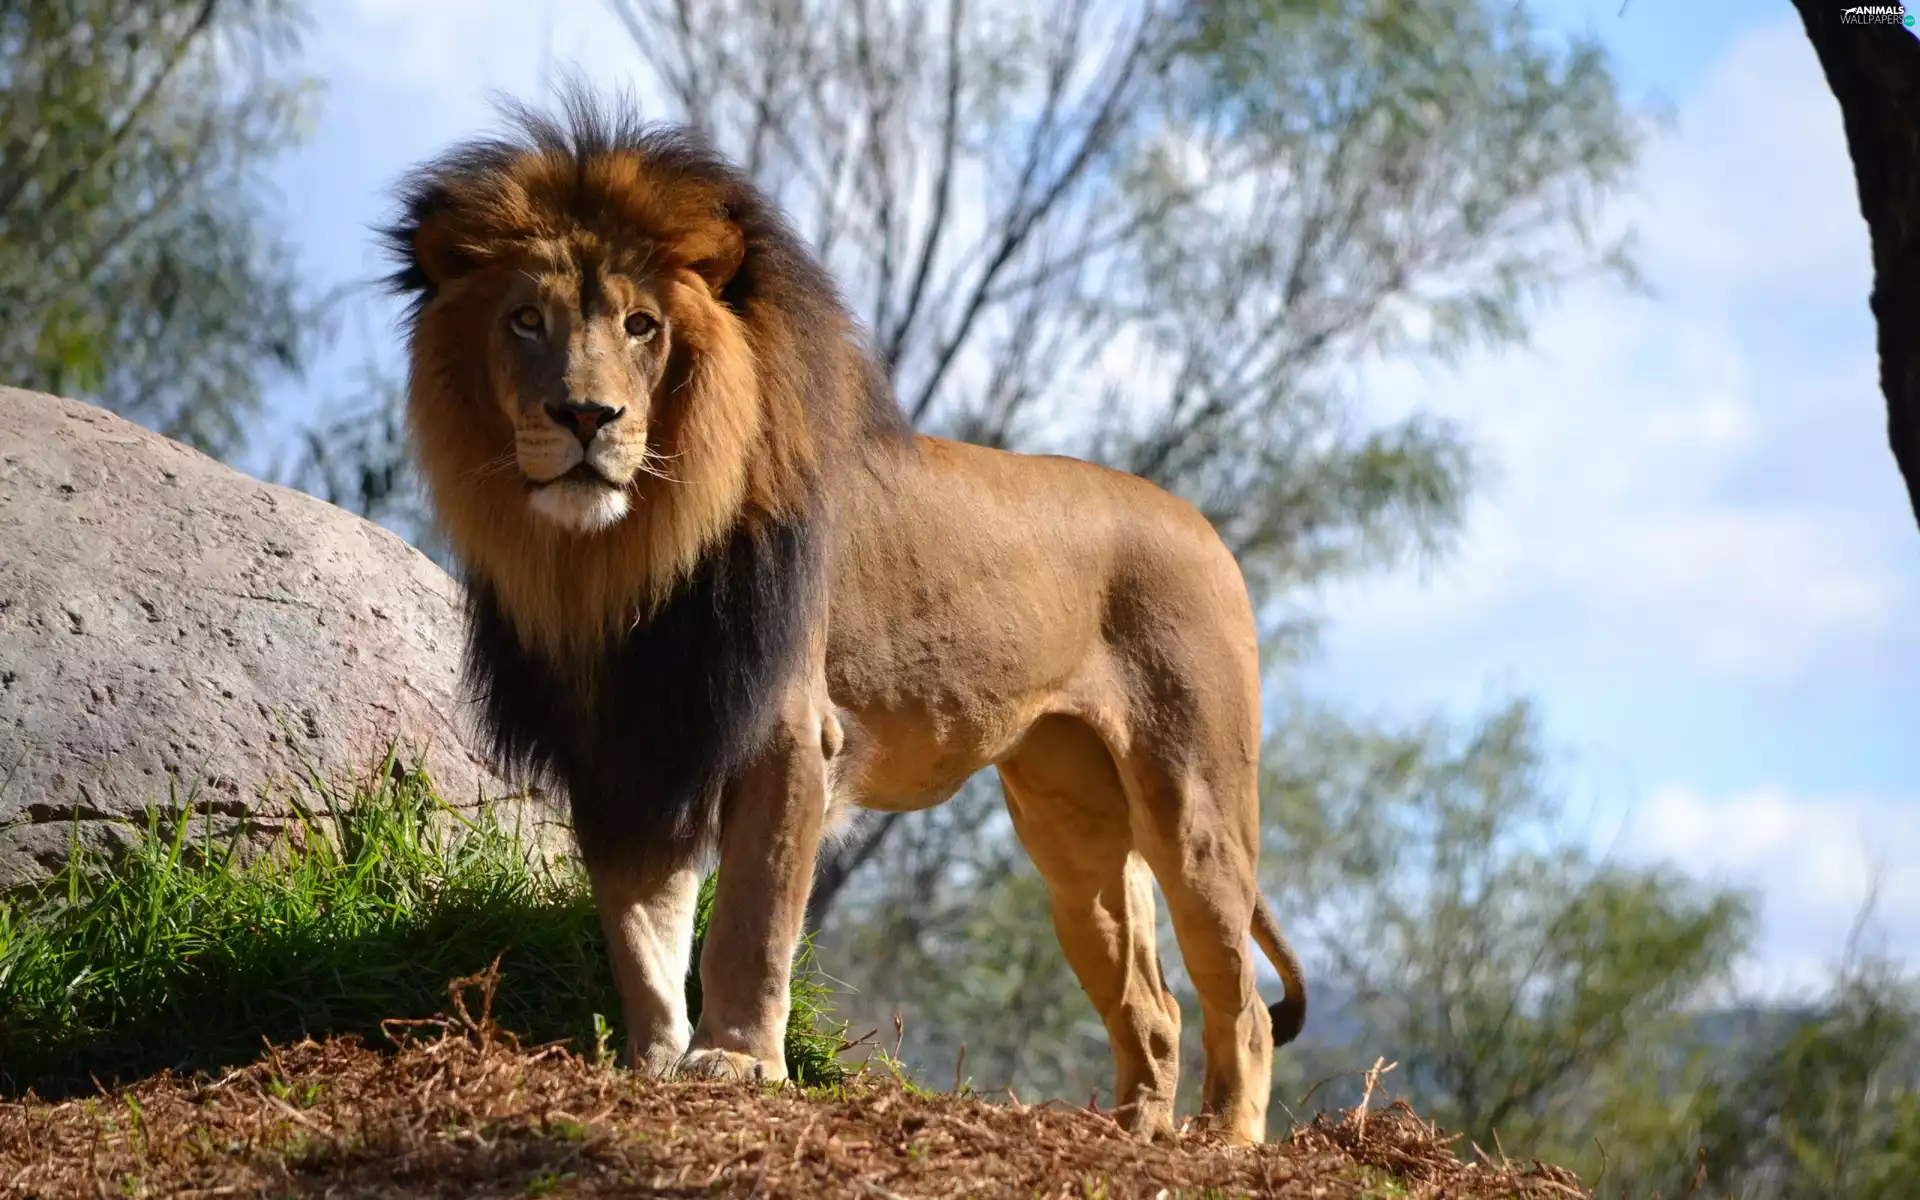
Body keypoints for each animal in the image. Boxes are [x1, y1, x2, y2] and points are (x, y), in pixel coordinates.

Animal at [384, 92, 1308, 1145]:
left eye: (642, 324)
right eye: (526, 320)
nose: (587, 416)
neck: (621, 557)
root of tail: (1203, 526)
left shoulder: (787, 730)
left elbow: (750, 916)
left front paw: (736, 1064)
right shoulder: (625, 743)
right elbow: (639, 924)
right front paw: (651, 1062)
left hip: (1193, 799)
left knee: (1240, 997)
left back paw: (1226, 1138)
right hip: (1070, 820)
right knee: (1151, 1004)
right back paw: (1135, 1130)